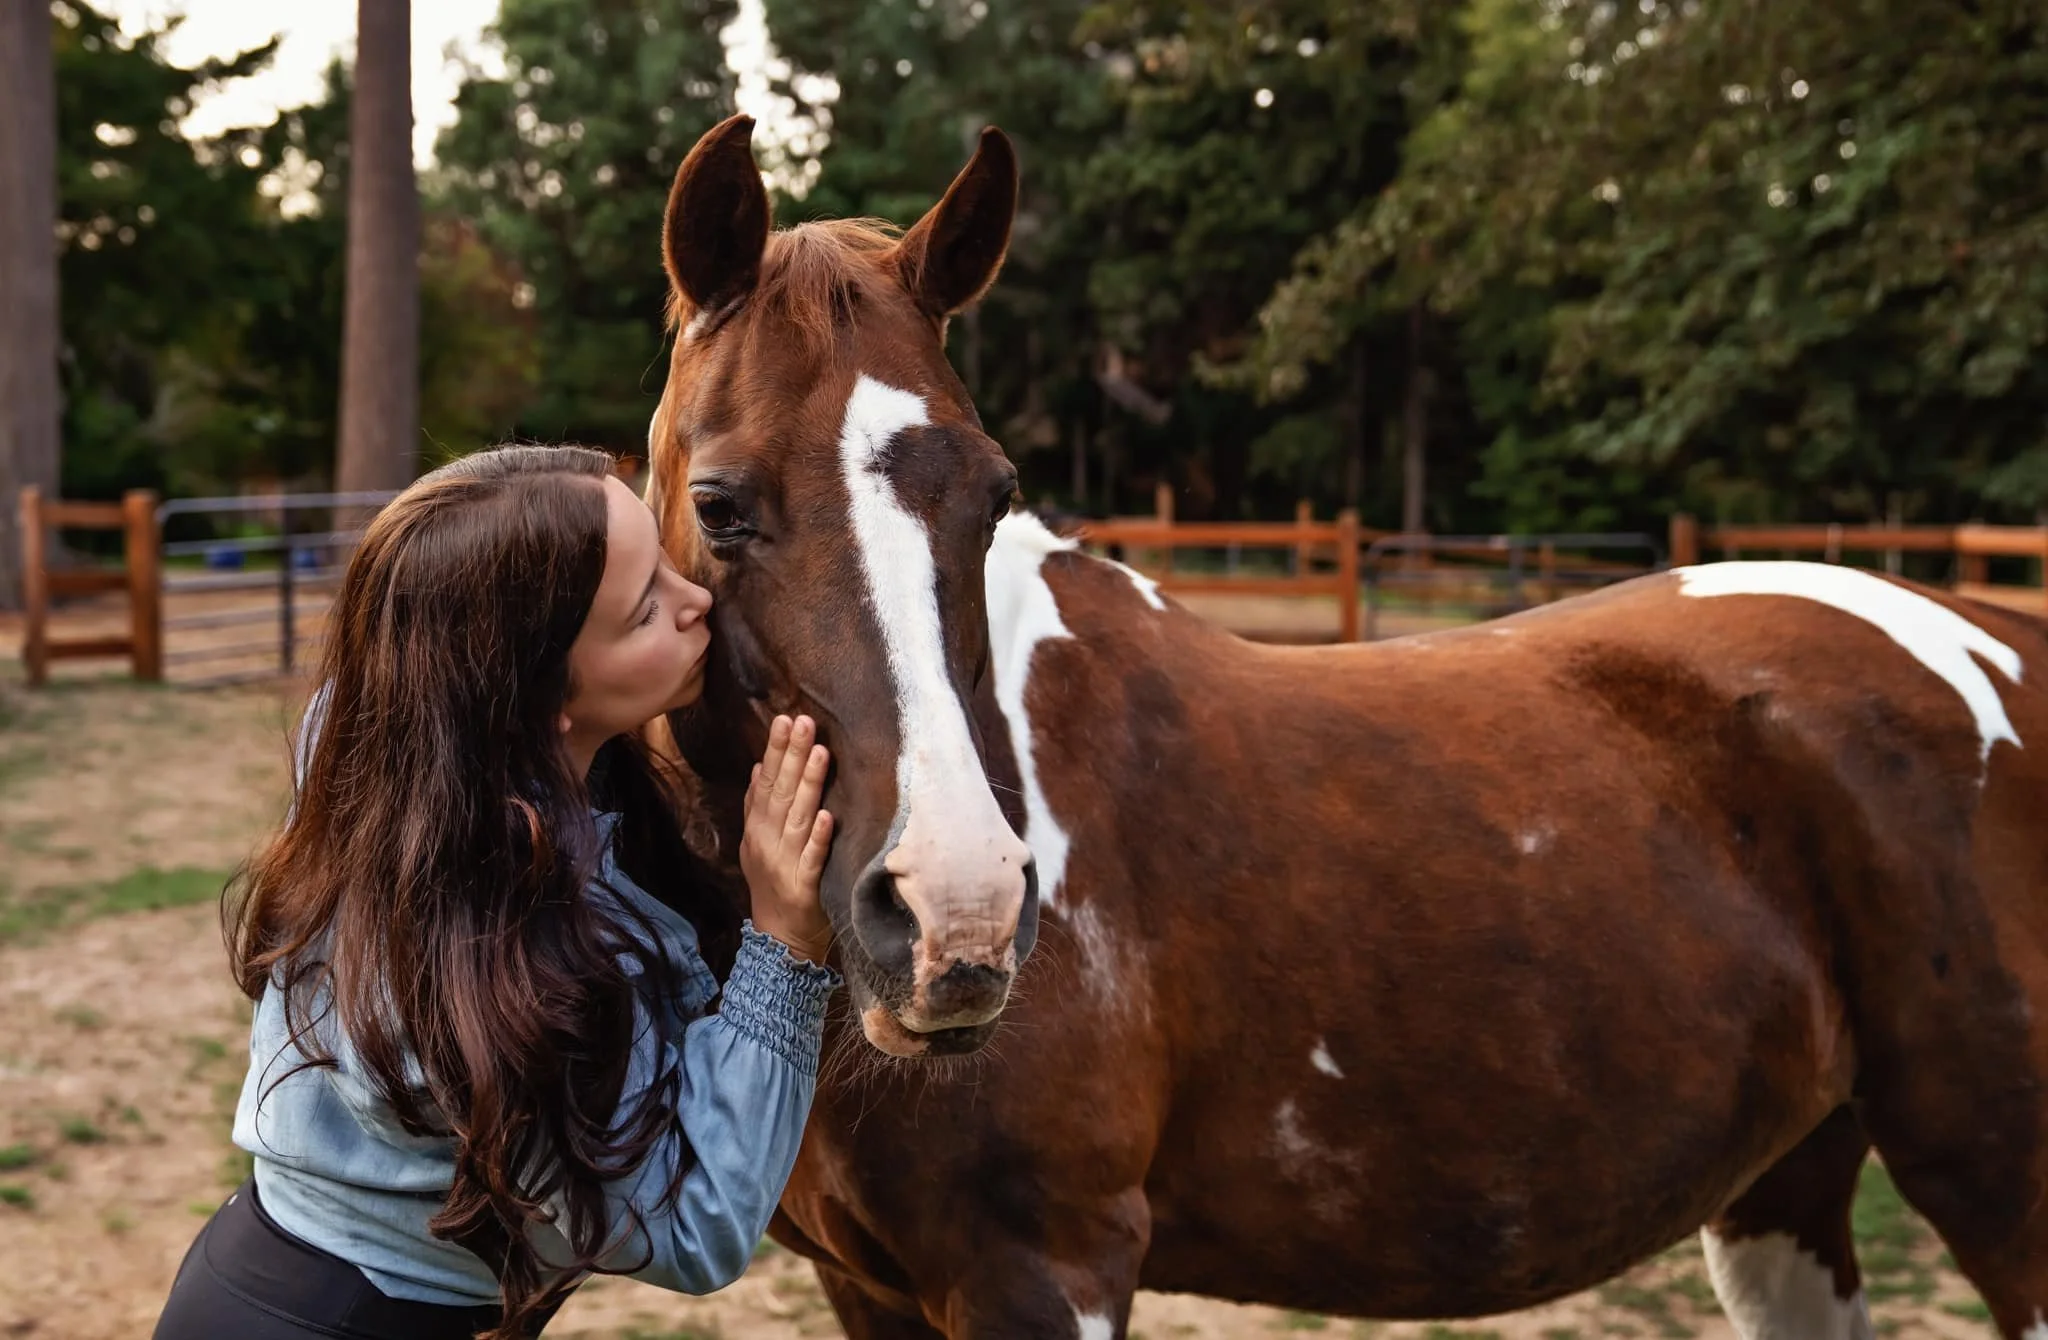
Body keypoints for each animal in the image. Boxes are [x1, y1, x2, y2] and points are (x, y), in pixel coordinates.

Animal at [647, 113, 2048, 1340]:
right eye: (718, 505)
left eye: (993, 493)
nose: (959, 913)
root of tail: (1996, 640)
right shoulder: (871, 1287)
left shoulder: (1045, 1267)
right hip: (1783, 1192)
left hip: (1998, 1191)